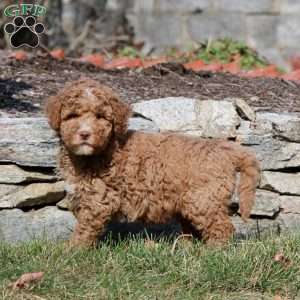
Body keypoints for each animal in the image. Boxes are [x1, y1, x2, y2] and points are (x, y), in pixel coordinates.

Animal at [46, 78, 260, 247]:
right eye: (72, 116)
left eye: (100, 117)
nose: (84, 134)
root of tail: (224, 148)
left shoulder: (99, 200)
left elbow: (84, 228)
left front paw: (71, 251)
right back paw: (187, 247)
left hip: (203, 199)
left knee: (221, 227)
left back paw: (213, 253)